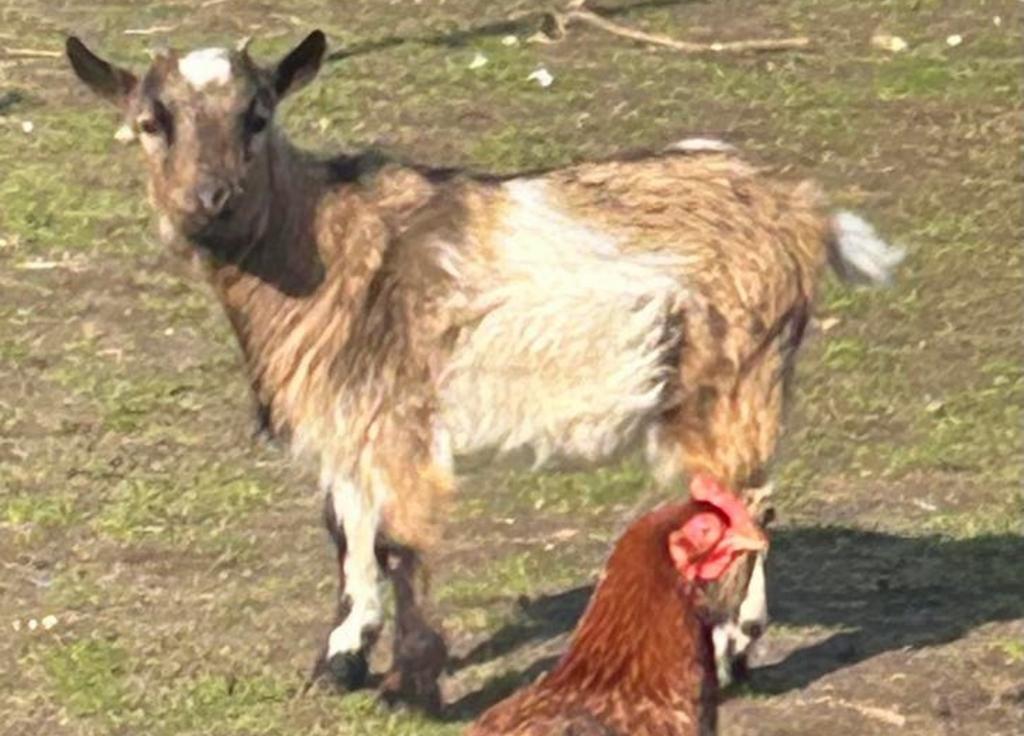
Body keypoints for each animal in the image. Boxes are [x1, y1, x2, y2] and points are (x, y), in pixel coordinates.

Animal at [66, 30, 903, 708]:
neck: (324, 243)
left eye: (258, 115)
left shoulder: (396, 413)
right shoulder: (347, 416)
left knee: (750, 502)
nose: (212, 199)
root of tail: (802, 211)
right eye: (152, 123)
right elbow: (347, 529)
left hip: (732, 379)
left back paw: (733, 651)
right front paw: (341, 659)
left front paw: (411, 687)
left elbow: (397, 541)